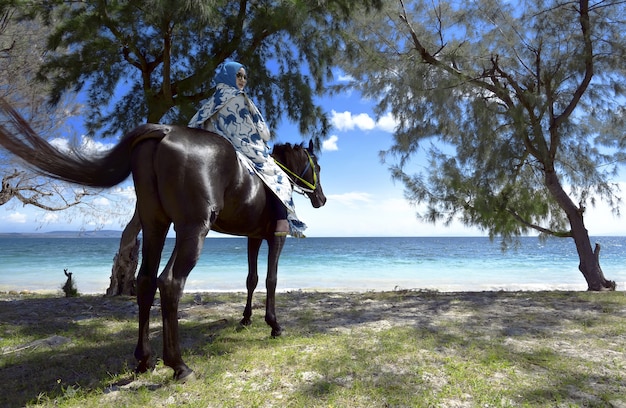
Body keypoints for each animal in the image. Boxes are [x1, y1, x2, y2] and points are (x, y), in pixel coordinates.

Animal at [0, 99, 324, 382]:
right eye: (317, 167)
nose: (321, 199)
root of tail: (166, 131)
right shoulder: (275, 237)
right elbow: (270, 279)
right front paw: (274, 325)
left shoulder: (253, 238)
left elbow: (251, 279)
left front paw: (245, 319)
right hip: (193, 230)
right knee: (170, 283)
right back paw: (179, 365)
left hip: (156, 225)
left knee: (146, 280)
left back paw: (144, 359)